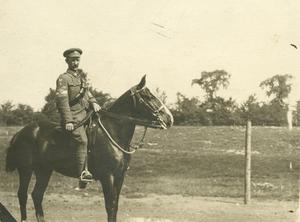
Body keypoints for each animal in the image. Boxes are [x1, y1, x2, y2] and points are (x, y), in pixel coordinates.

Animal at [5, 75, 173, 221]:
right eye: (147, 96)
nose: (169, 118)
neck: (113, 130)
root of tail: (20, 132)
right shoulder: (108, 177)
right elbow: (110, 207)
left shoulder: (120, 177)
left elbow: (115, 206)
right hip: (26, 170)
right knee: (22, 195)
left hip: (44, 170)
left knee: (37, 195)